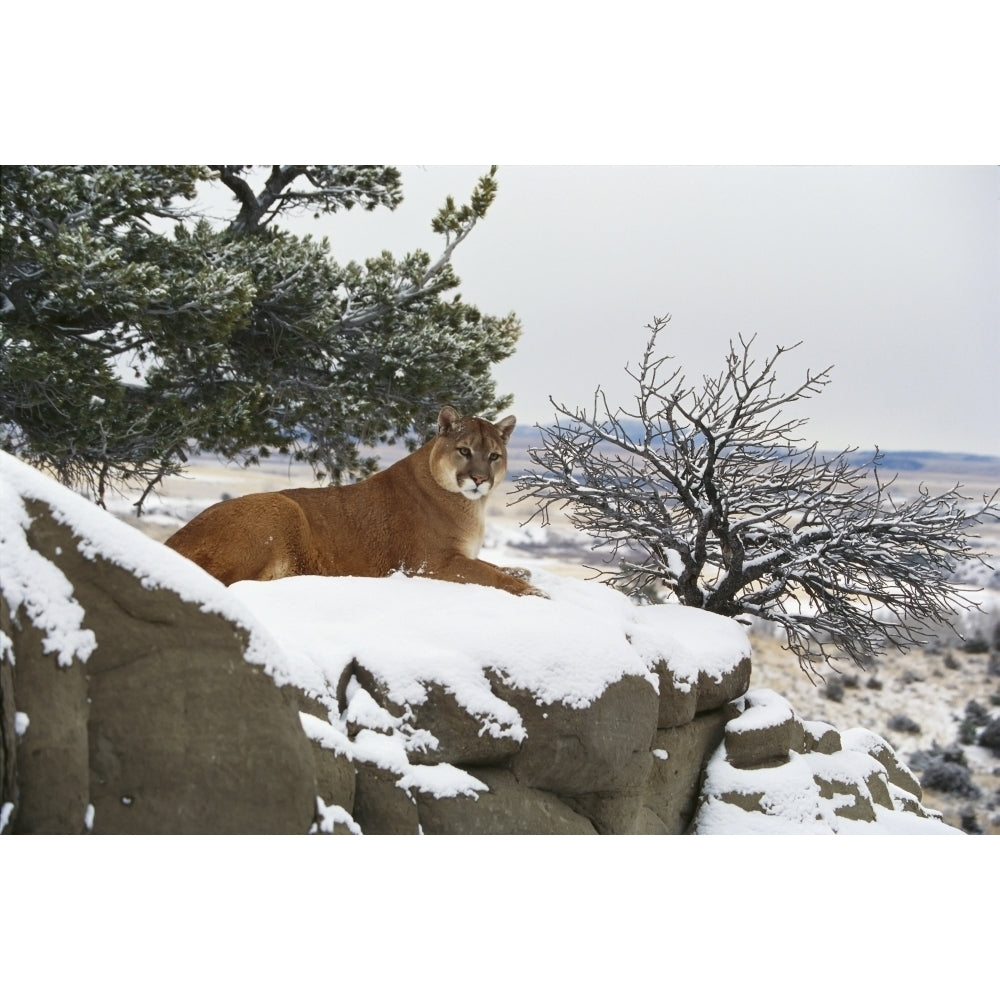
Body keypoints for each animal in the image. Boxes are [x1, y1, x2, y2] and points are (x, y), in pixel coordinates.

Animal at [166, 404, 540, 592]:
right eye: (464, 451)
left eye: (494, 456)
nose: (479, 479)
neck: (471, 505)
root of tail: (172, 542)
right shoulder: (431, 563)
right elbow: (488, 574)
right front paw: (531, 590)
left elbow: (492, 565)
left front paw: (523, 571)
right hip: (281, 506)